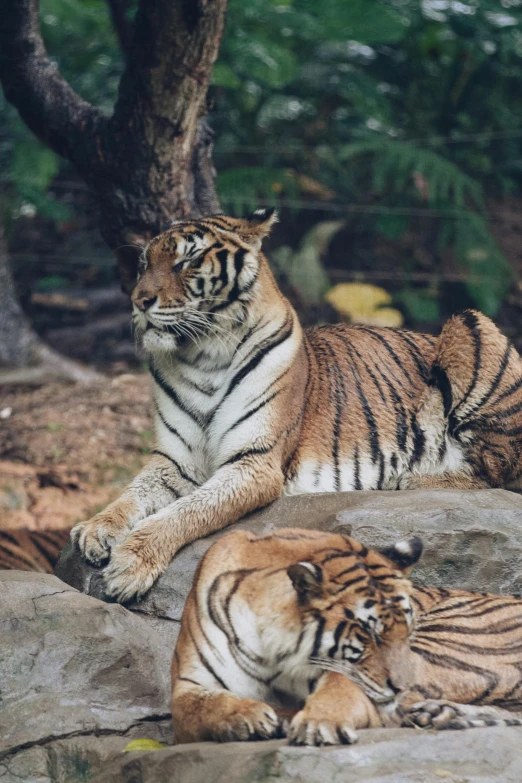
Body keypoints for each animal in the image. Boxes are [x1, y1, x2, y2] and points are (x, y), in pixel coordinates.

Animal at [70, 207, 520, 600]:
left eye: (188, 261)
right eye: (143, 264)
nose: (139, 300)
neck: (201, 356)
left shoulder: (254, 462)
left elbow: (186, 512)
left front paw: (131, 563)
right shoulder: (173, 462)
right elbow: (132, 495)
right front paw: (94, 529)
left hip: (469, 323)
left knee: (498, 473)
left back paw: (408, 478)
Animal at [172, 528, 522, 744]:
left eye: (406, 630)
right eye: (370, 634)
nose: (402, 687)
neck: (272, 652)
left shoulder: (351, 675)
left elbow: (339, 691)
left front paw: (318, 723)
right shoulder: (189, 684)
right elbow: (201, 706)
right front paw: (248, 716)